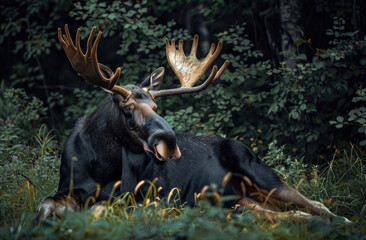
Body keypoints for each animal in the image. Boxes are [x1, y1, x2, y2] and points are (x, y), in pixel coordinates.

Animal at [35, 24, 352, 223]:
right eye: (127, 109)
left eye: (156, 106)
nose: (169, 142)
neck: (100, 166)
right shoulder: (68, 188)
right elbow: (46, 204)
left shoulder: (151, 195)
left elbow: (101, 209)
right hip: (240, 198)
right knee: (276, 213)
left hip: (262, 174)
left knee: (314, 204)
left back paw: (344, 221)